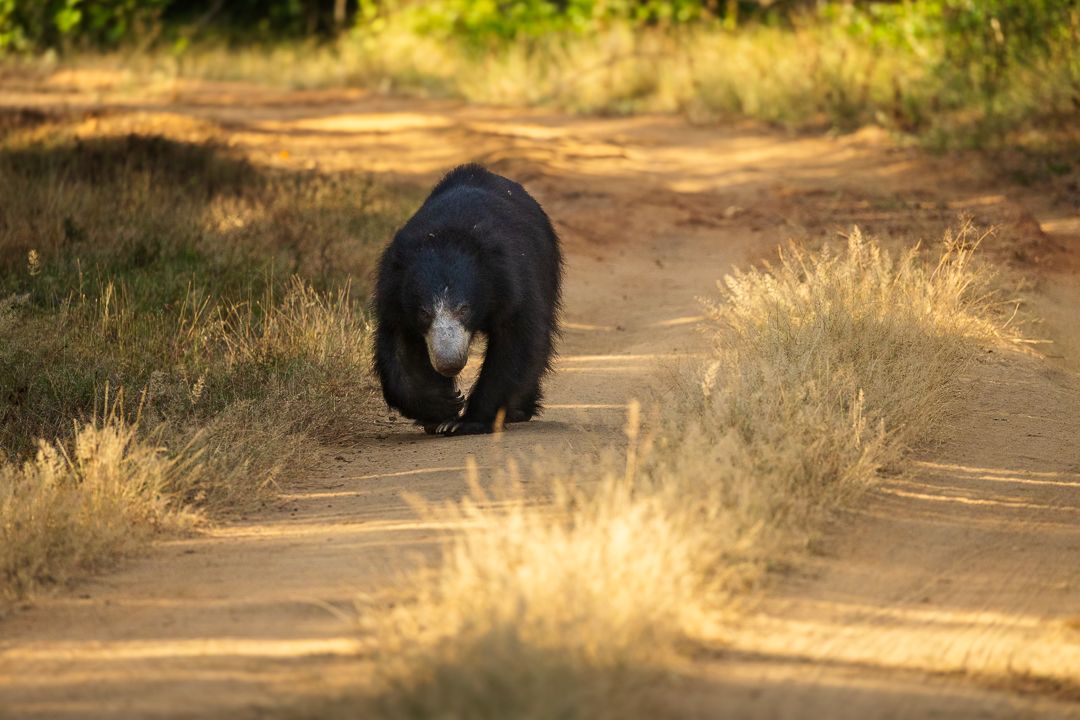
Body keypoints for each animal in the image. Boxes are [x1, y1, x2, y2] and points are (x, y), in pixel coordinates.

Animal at [373, 164, 562, 436]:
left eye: (464, 309)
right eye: (424, 313)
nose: (449, 363)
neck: (446, 237)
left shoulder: (513, 283)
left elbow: (515, 343)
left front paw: (466, 421)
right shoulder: (393, 295)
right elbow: (400, 351)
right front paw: (442, 407)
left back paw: (519, 411)